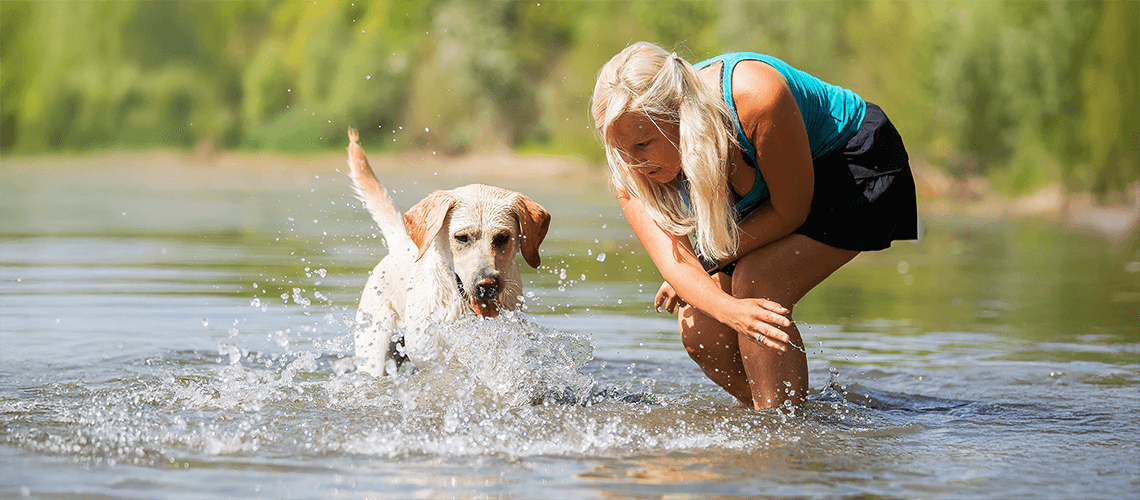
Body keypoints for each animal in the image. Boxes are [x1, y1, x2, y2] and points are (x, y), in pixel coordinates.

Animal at [344, 129, 549, 375]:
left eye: (502, 237)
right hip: (374, 352)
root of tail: (401, 243)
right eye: (461, 237)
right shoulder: (430, 357)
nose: (486, 285)